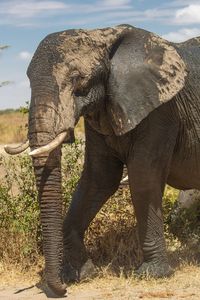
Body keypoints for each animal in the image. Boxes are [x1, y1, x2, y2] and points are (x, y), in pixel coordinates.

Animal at [4, 24, 200, 296]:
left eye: (77, 78)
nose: (62, 289)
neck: (102, 34)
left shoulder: (162, 110)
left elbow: (143, 177)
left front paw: (152, 274)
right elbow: (98, 178)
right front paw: (81, 274)